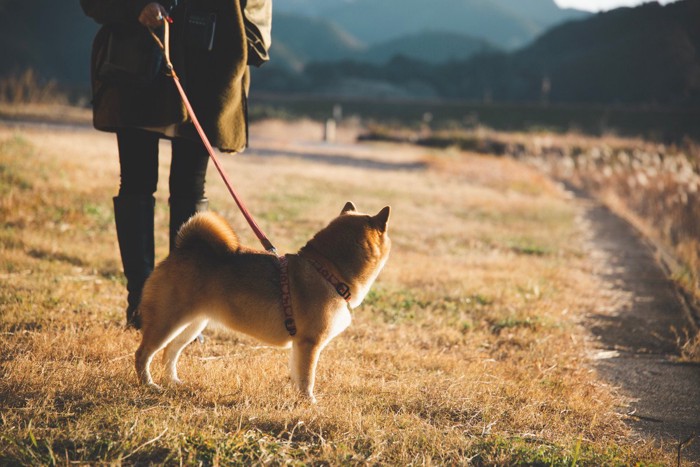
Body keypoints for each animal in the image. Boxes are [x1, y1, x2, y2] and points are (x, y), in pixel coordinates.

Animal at [134, 203, 392, 404]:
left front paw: (298, 398)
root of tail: (181, 251)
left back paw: (174, 382)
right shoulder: (310, 343)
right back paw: (149, 385)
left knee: (169, 353)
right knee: (143, 354)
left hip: (192, 326)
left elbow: (298, 374)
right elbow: (308, 377)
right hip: (167, 322)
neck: (328, 271)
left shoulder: (300, 346)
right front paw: (309, 401)